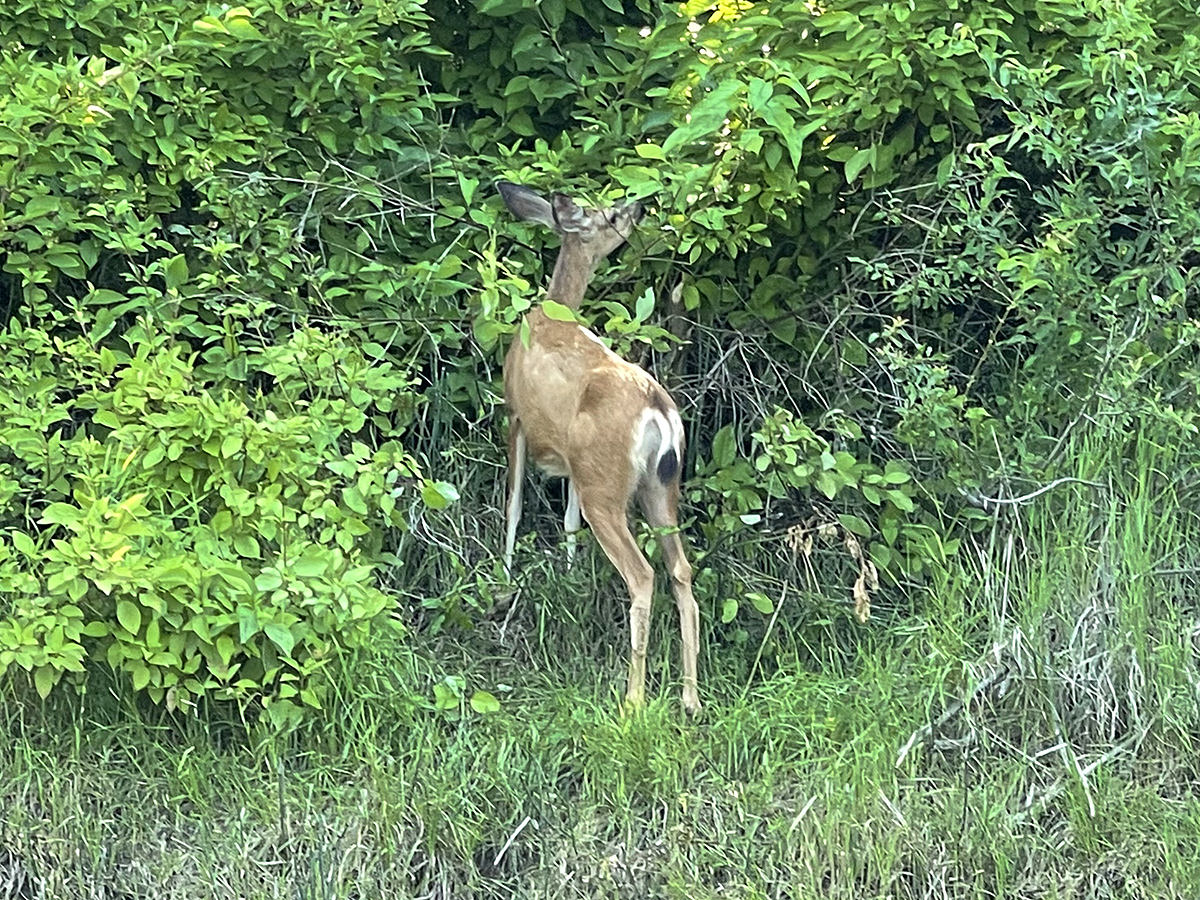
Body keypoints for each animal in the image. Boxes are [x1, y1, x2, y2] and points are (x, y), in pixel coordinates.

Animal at [496, 183, 700, 715]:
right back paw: (690, 698)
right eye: (611, 213)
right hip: (659, 486)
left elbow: (514, 505)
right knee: (681, 569)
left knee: (643, 574)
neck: (553, 309)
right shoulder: (572, 459)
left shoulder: (516, 416)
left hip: (606, 487)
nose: (641, 205)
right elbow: (566, 521)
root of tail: (657, 409)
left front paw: (502, 580)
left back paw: (634, 700)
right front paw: (568, 575)